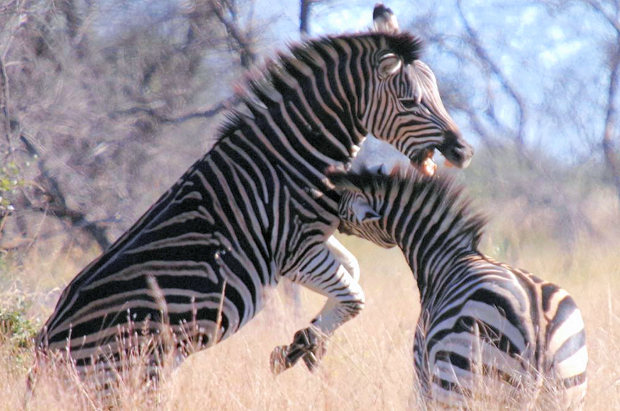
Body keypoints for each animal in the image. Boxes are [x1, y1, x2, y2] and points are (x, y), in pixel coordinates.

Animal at [330, 169, 588, 410]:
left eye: (342, 207)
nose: (331, 212)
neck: (445, 258)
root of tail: (538, 326)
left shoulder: (422, 367)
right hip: (565, 388)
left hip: (458, 376)